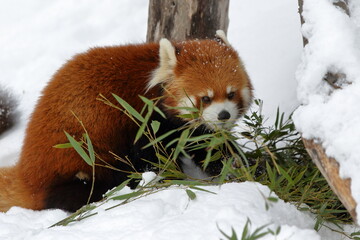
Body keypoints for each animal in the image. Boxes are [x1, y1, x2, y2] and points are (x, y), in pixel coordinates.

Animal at [0, 30, 253, 212]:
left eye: (231, 94)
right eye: (205, 98)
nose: (223, 115)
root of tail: (25, 175)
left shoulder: (186, 128)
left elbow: (211, 148)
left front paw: (244, 169)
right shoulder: (146, 123)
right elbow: (153, 159)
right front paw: (172, 182)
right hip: (79, 157)